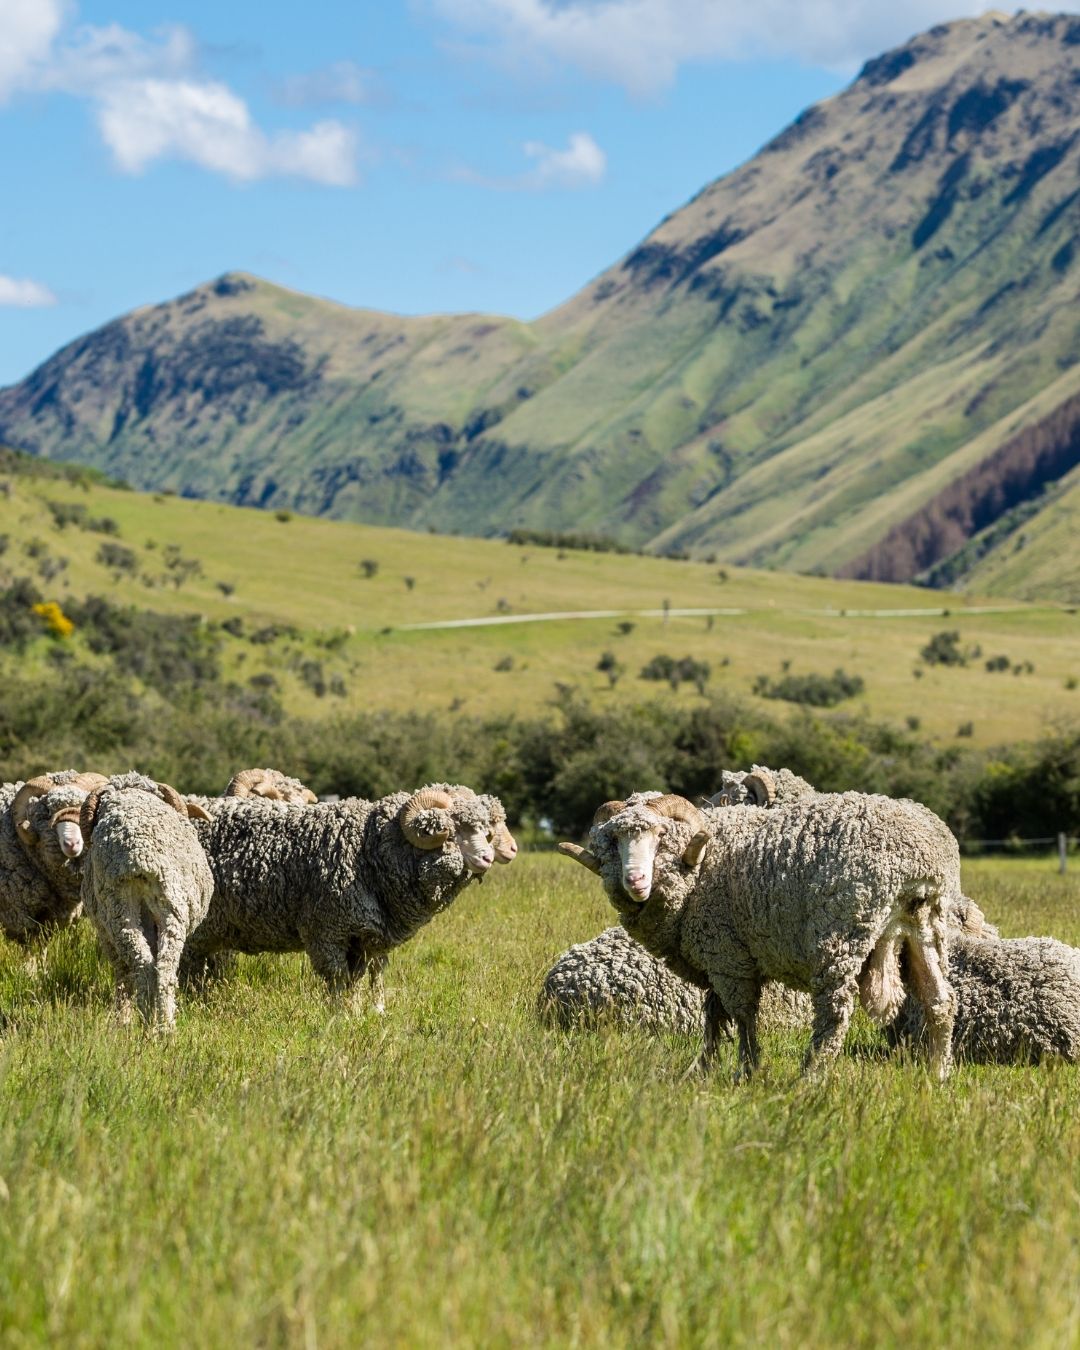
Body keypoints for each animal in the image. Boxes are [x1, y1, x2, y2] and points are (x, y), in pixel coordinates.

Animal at [61, 777, 214, 1026]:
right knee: (158, 967)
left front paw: (122, 1017)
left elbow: (123, 972)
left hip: (121, 910)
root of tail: (137, 852)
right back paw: (160, 1024)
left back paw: (153, 1023)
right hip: (164, 908)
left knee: (144, 967)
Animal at [186, 783, 507, 1015]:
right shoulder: (326, 930)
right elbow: (338, 978)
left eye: (484, 830)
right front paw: (339, 1017)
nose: (487, 858)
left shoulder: (361, 938)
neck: (367, 848)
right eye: (452, 830)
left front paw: (355, 1013)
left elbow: (356, 980)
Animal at [561, 788, 955, 1074]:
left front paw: (747, 1070)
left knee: (835, 1013)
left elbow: (743, 1016)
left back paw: (809, 1077)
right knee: (940, 1000)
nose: (635, 881)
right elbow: (714, 1016)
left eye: (661, 835)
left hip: (840, 933)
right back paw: (937, 1074)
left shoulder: (728, 957)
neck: (703, 862)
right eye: (613, 840)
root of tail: (919, 858)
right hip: (926, 926)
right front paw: (702, 1069)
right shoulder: (719, 958)